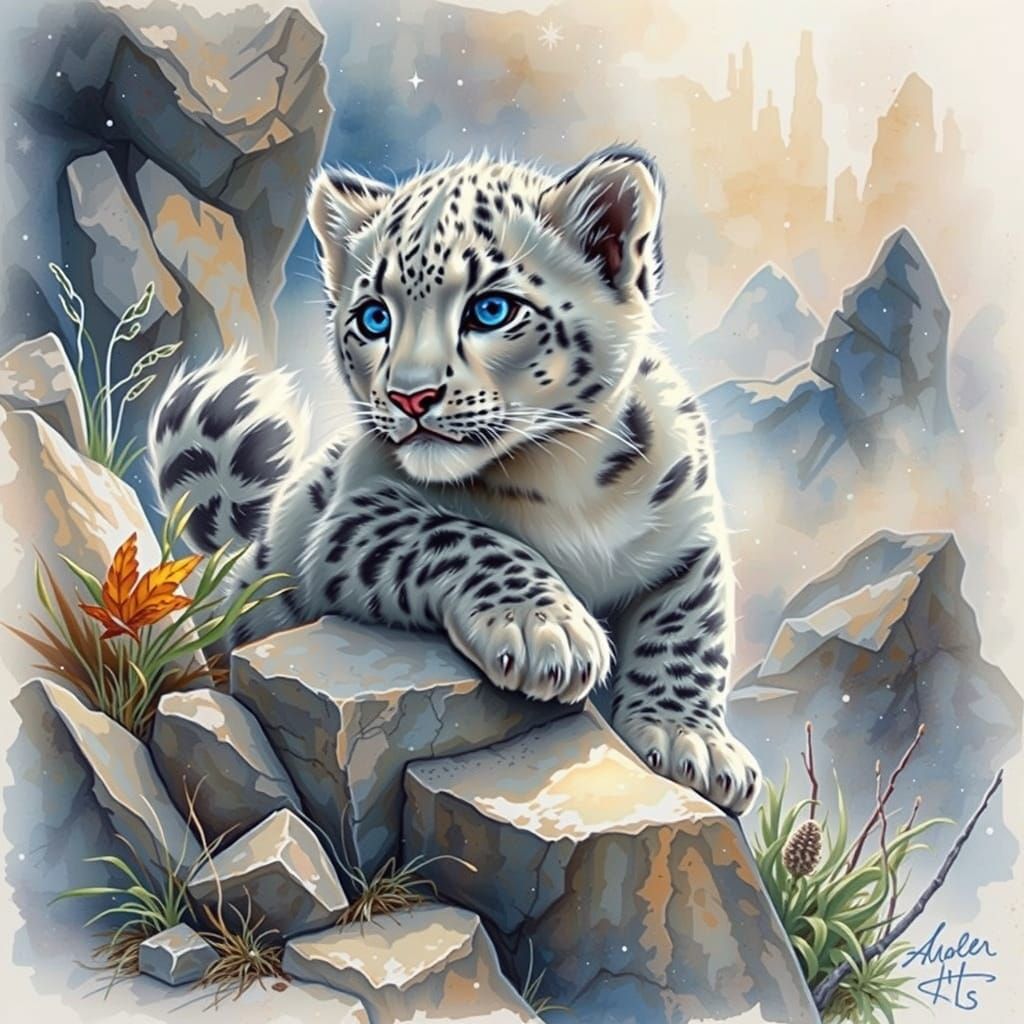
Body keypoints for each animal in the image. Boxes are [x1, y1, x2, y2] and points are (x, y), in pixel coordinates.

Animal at [149, 146, 761, 814]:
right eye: (374, 317)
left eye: (491, 309)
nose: (410, 396)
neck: (564, 474)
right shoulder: (354, 517)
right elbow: (466, 538)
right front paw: (547, 632)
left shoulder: (691, 534)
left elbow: (690, 632)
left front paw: (690, 740)